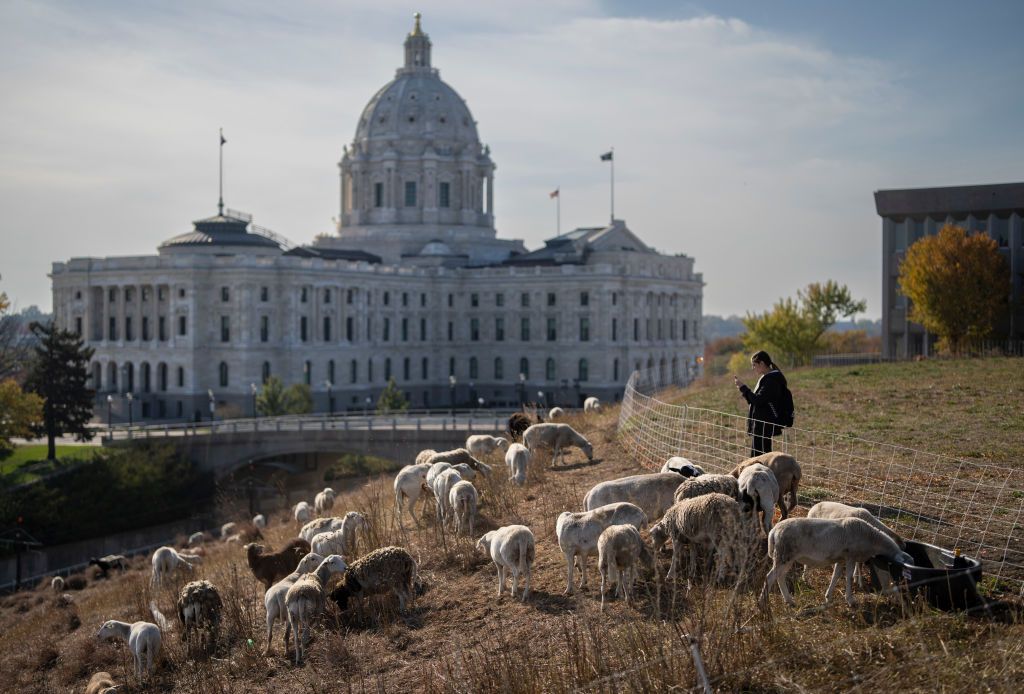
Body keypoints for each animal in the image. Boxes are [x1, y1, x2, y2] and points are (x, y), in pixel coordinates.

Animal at [761, 515, 913, 610]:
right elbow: (849, 577)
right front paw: (850, 600)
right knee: (770, 577)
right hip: (784, 555)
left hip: (785, 557)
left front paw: (828, 597)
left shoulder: (841, 559)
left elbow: (836, 576)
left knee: (779, 577)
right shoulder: (851, 556)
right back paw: (763, 602)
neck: (872, 539)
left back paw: (789, 600)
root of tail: (773, 531)